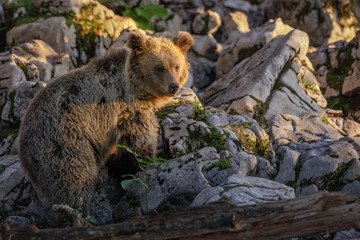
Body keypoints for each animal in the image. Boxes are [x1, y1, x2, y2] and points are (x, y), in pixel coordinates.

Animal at [17, 30, 194, 219]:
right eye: (160, 67)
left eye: (176, 66)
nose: (173, 86)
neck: (134, 85)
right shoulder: (129, 107)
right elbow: (139, 142)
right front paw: (146, 164)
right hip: (61, 139)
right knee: (75, 177)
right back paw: (78, 215)